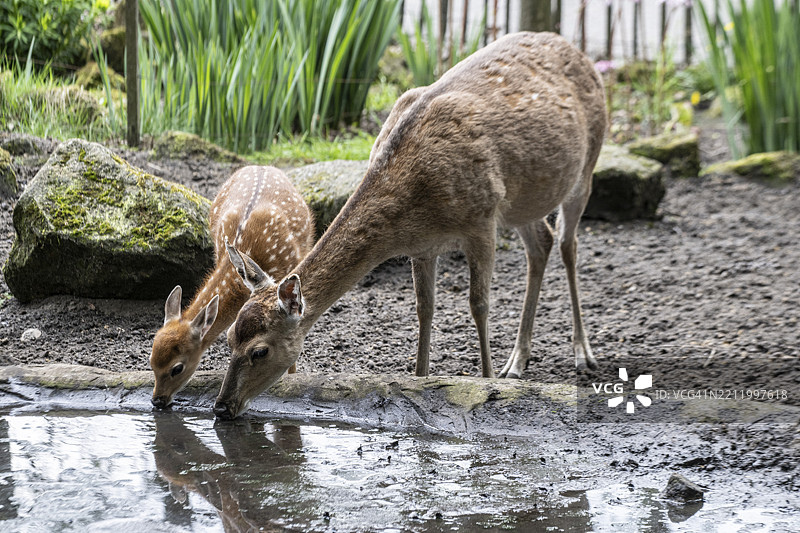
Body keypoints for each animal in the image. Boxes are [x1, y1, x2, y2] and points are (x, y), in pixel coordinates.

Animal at [214, 32, 607, 419]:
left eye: (260, 351)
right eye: (229, 336)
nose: (221, 406)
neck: (413, 209)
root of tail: (578, 51)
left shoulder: (482, 219)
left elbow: (478, 303)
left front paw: (487, 379)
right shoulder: (424, 246)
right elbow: (424, 309)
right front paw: (420, 379)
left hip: (585, 166)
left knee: (568, 244)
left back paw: (581, 353)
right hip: (523, 201)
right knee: (542, 242)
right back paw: (518, 361)